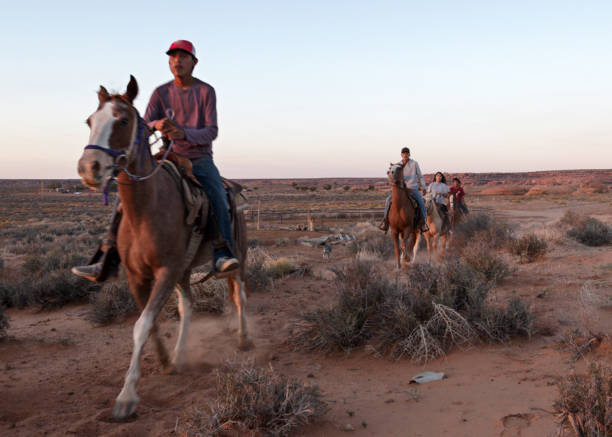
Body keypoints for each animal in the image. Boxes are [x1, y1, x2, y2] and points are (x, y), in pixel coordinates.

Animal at [77, 76, 250, 418]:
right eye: (90, 121)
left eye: (123, 120)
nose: (89, 167)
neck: (146, 209)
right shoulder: (138, 276)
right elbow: (150, 321)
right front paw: (166, 361)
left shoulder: (166, 271)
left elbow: (143, 325)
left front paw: (127, 396)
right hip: (184, 269)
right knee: (188, 304)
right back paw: (181, 355)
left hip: (235, 257)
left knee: (239, 294)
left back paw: (243, 339)